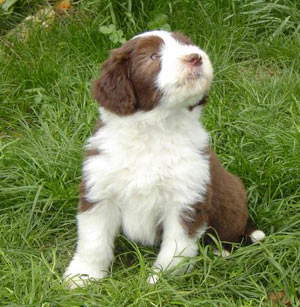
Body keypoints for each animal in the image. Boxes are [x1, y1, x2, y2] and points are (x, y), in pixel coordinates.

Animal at [63, 30, 264, 288]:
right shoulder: (99, 189)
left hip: (231, 203)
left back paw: (222, 251)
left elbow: (176, 250)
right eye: (152, 57)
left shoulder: (186, 201)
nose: (195, 57)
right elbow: (93, 240)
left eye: (187, 44)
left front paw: (160, 282)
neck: (155, 130)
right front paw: (83, 276)